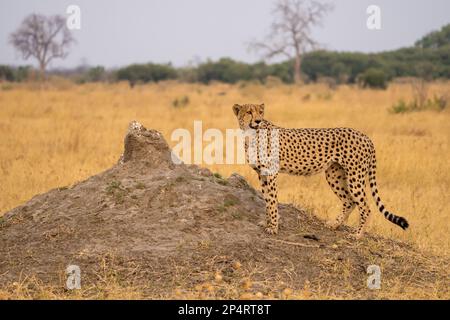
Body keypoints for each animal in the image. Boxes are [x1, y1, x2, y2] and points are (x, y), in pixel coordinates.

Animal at [234, 104, 410, 239]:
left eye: (260, 112)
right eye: (249, 112)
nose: (258, 120)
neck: (251, 134)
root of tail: (365, 136)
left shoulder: (271, 173)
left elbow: (272, 201)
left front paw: (273, 227)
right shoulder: (262, 173)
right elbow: (266, 199)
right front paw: (267, 222)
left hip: (355, 176)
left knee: (365, 207)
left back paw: (358, 234)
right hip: (334, 175)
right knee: (349, 201)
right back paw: (334, 224)